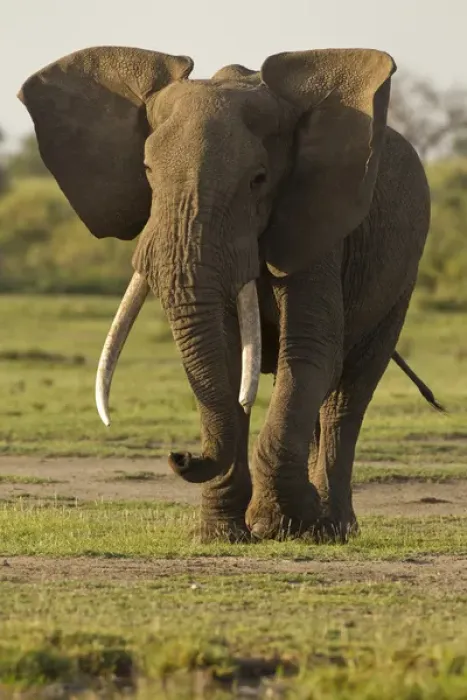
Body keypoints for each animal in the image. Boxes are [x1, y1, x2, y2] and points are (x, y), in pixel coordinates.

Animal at [19, 45, 443, 542]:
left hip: (403, 270)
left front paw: (285, 525)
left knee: (348, 392)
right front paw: (221, 534)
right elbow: (225, 360)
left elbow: (311, 352)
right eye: (147, 172)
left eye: (259, 179)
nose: (181, 455)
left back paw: (334, 528)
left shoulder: (315, 219)